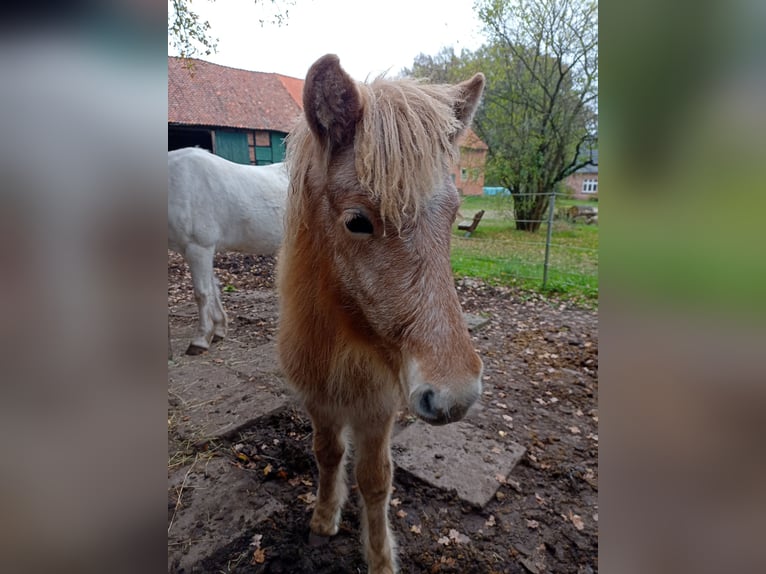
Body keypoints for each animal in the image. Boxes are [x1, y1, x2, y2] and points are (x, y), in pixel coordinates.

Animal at [168, 148, 288, 356]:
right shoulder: (195, 251)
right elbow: (213, 289)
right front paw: (218, 330)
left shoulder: (198, 247)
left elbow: (202, 294)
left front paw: (200, 340)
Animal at [278, 54, 486, 574]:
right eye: (357, 221)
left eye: (453, 216)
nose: (456, 395)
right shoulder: (318, 398)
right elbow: (327, 453)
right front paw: (324, 518)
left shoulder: (377, 409)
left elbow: (375, 480)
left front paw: (380, 558)